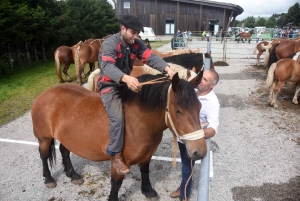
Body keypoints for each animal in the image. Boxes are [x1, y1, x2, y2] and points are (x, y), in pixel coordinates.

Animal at [31, 72, 207, 201]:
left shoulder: (146, 154)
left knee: (64, 151)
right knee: (43, 155)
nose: (200, 151)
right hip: (44, 139)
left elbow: (145, 171)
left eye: (199, 106)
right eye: (178, 110)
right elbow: (116, 183)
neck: (137, 121)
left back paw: (72, 174)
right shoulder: (118, 163)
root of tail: (44, 94)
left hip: (67, 137)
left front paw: (147, 191)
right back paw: (48, 178)